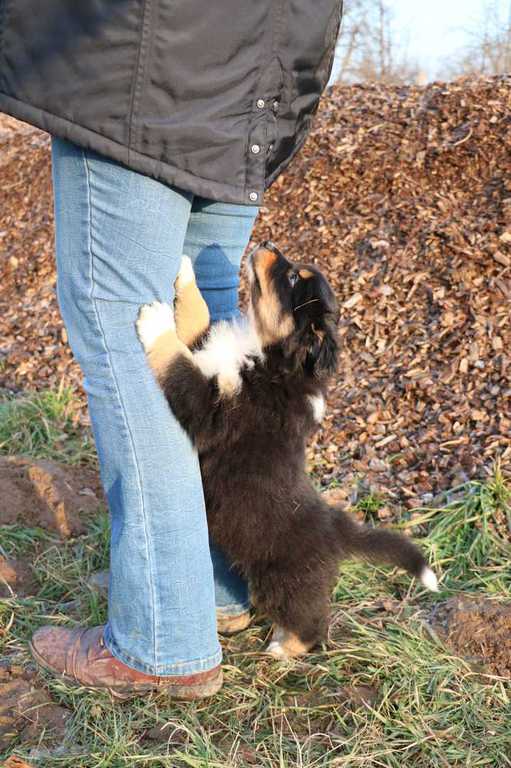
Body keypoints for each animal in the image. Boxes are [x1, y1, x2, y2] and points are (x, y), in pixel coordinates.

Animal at [136, 241, 438, 660]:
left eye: (293, 277)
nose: (267, 245)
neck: (269, 356)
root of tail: (336, 528)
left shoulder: (212, 413)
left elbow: (177, 362)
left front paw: (155, 321)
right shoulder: (207, 352)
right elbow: (198, 321)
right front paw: (185, 272)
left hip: (283, 582)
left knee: (310, 621)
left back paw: (283, 648)